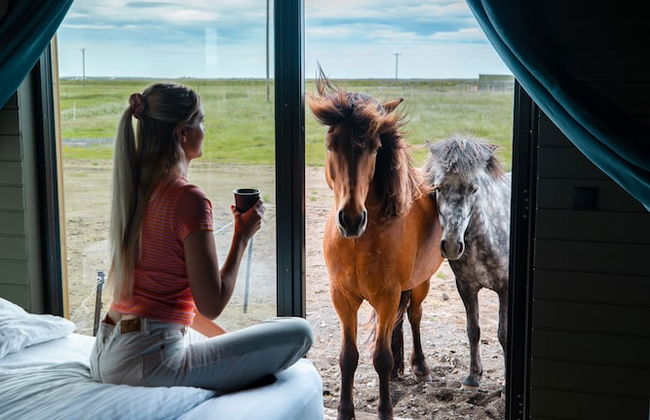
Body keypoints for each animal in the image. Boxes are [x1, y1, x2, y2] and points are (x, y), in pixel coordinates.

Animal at [309, 74, 444, 420]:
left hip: (419, 284)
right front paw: (345, 410)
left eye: (374, 147)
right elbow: (348, 356)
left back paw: (419, 366)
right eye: (331, 144)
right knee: (398, 321)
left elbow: (380, 357)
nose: (351, 219)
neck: (360, 242)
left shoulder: (386, 295)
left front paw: (385, 410)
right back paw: (399, 368)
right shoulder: (343, 298)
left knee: (414, 316)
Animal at [422, 136, 511, 387]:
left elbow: (503, 334)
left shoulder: (505, 289)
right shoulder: (466, 287)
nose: (452, 245)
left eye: (473, 188)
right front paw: (473, 376)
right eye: (438, 187)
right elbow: (473, 330)